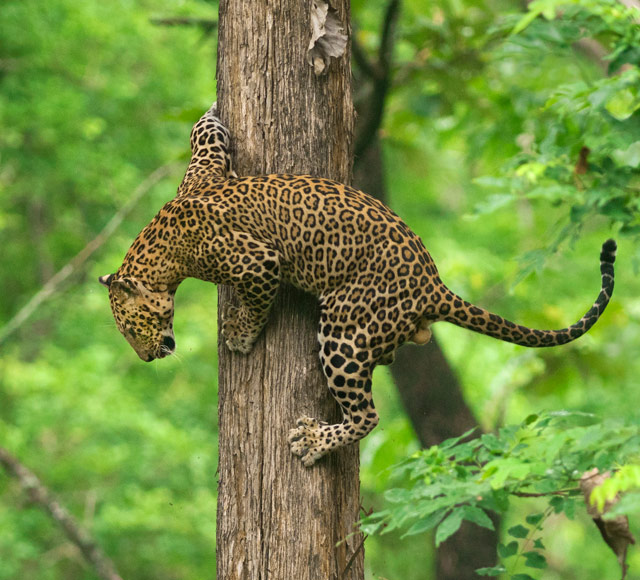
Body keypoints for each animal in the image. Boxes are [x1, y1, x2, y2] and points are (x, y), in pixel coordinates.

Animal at [99, 103, 616, 466]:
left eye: (132, 331)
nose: (147, 357)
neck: (160, 246)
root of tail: (434, 285)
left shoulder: (257, 261)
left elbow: (257, 302)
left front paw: (240, 336)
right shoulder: (204, 172)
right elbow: (206, 138)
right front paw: (208, 114)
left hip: (344, 326)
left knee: (367, 415)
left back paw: (312, 440)